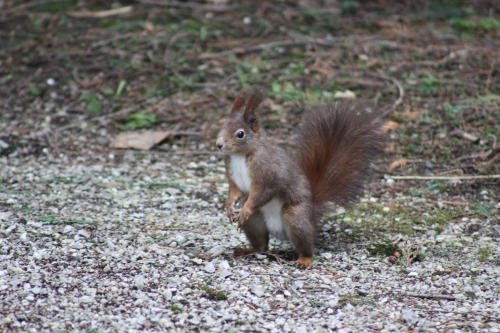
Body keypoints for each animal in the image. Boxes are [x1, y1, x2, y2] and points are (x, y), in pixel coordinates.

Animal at [214, 86, 382, 268]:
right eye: (222, 126)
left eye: (240, 134)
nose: (218, 145)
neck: (240, 155)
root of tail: (311, 217)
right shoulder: (233, 176)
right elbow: (235, 191)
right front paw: (229, 207)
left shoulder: (268, 176)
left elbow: (261, 193)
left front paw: (244, 210)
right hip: (255, 222)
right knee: (262, 245)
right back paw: (247, 250)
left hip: (295, 218)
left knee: (306, 247)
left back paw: (304, 260)